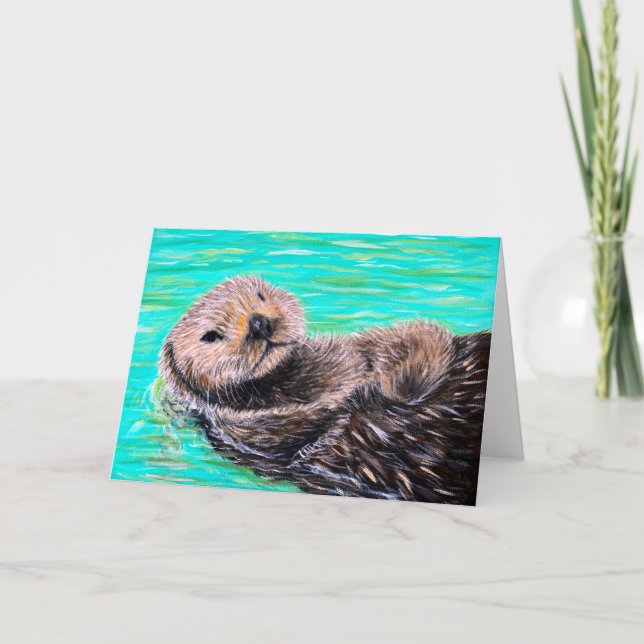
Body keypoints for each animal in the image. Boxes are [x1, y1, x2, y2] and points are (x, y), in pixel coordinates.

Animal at [159, 276, 491, 505]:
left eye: (260, 295)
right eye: (210, 336)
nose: (258, 323)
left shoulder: (358, 348)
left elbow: (408, 337)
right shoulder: (259, 430)